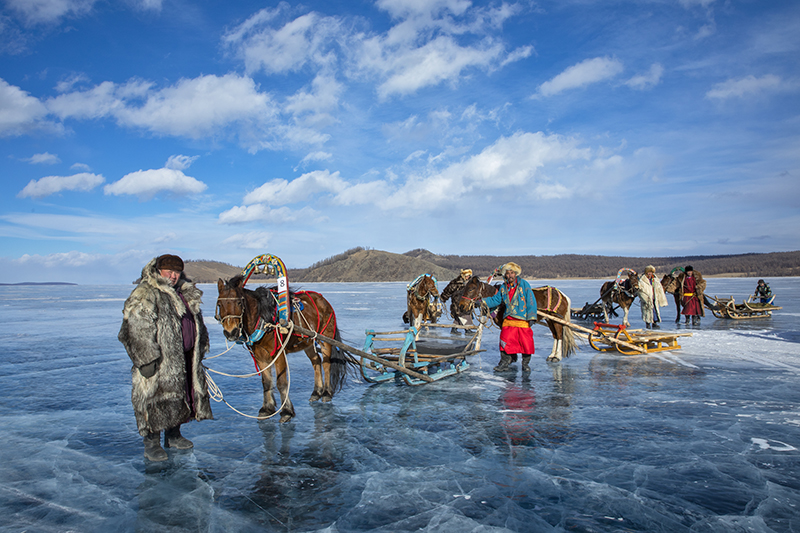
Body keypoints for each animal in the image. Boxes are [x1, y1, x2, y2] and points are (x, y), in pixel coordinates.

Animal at [217, 276, 358, 422]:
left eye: (239, 303)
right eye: (219, 304)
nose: (231, 332)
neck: (264, 319)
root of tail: (323, 300)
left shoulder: (279, 354)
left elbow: (281, 383)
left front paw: (286, 411)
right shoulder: (259, 355)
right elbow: (266, 382)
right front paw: (266, 409)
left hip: (325, 338)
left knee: (326, 363)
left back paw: (326, 393)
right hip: (307, 342)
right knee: (316, 361)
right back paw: (316, 392)